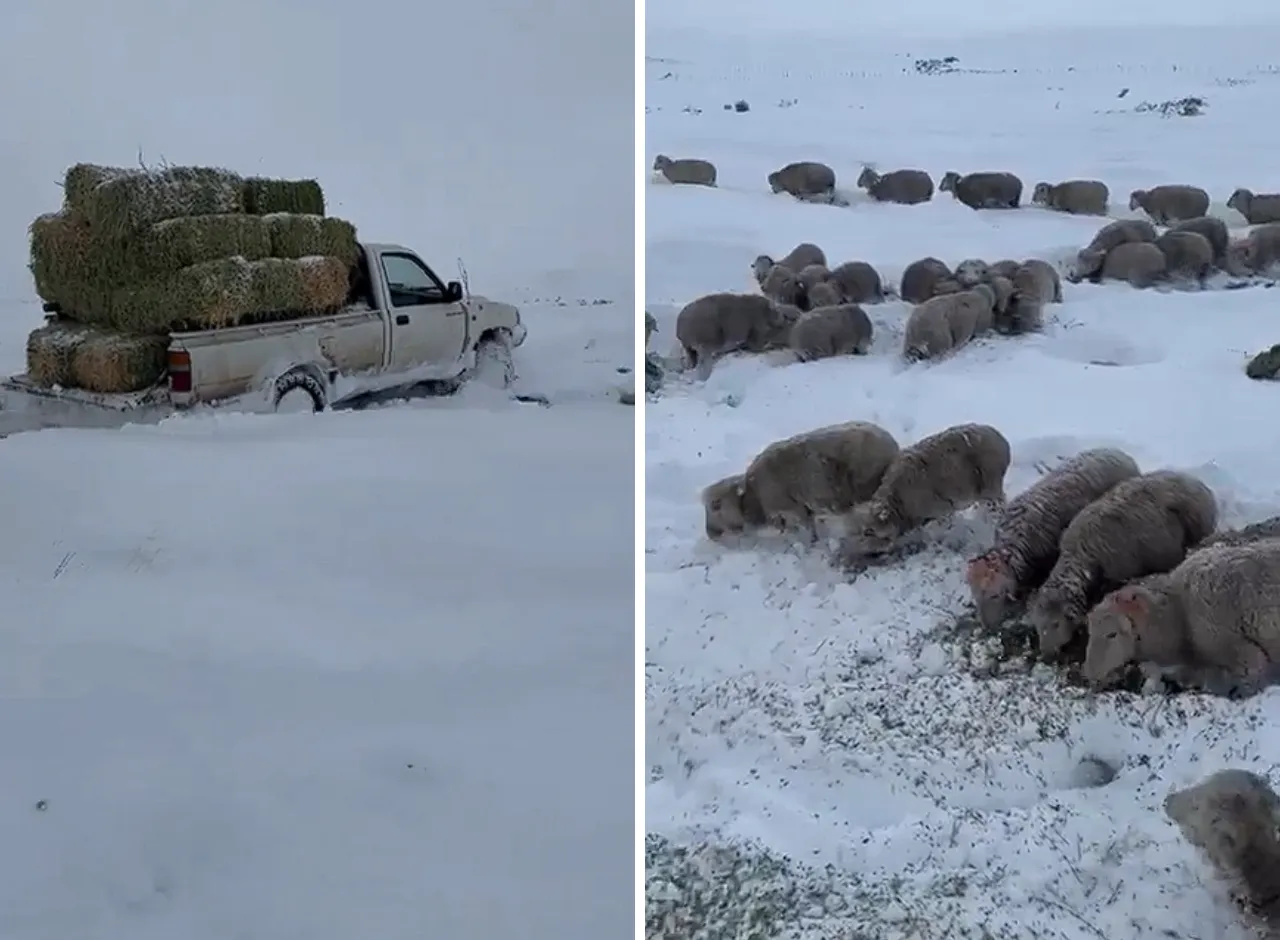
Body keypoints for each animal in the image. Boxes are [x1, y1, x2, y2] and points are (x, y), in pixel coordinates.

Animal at [843, 423, 1011, 555]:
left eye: (869, 532)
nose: (850, 550)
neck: (897, 501)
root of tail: (1000, 439)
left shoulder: (940, 510)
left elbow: (936, 530)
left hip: (990, 487)